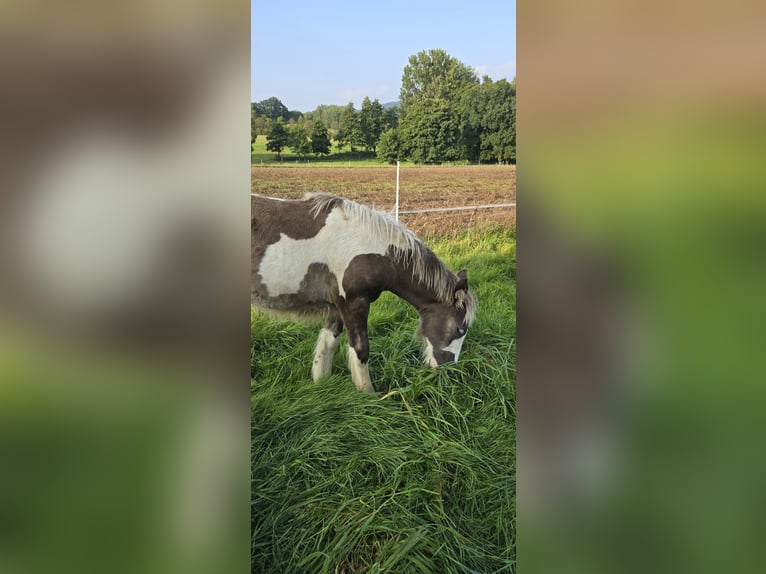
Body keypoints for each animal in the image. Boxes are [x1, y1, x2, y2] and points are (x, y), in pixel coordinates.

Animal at [252, 196, 476, 394]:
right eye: (460, 329)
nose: (449, 370)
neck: (371, 248)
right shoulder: (354, 303)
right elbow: (360, 349)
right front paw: (368, 395)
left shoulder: (336, 307)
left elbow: (328, 344)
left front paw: (322, 385)